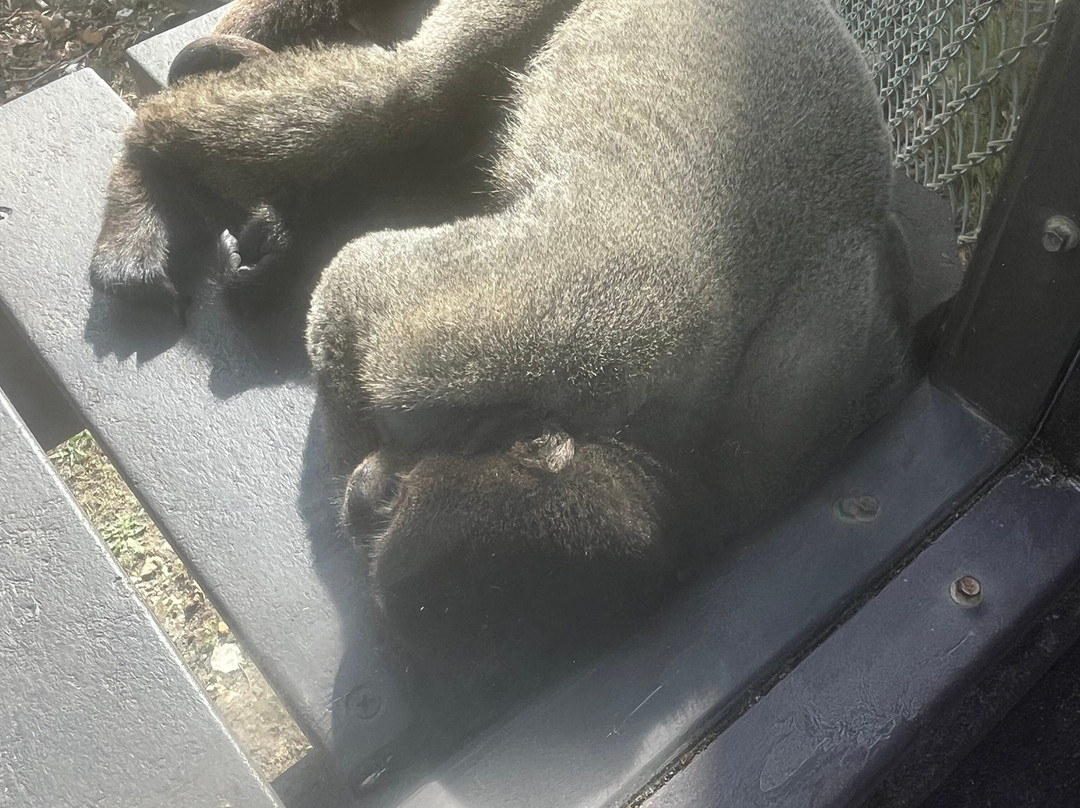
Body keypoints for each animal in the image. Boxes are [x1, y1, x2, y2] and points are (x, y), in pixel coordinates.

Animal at [89, 0, 916, 681]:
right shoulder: (553, 334)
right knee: (408, 93)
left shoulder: (778, 450)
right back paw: (148, 177)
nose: (360, 500)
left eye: (386, 514)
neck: (660, 456)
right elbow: (359, 284)